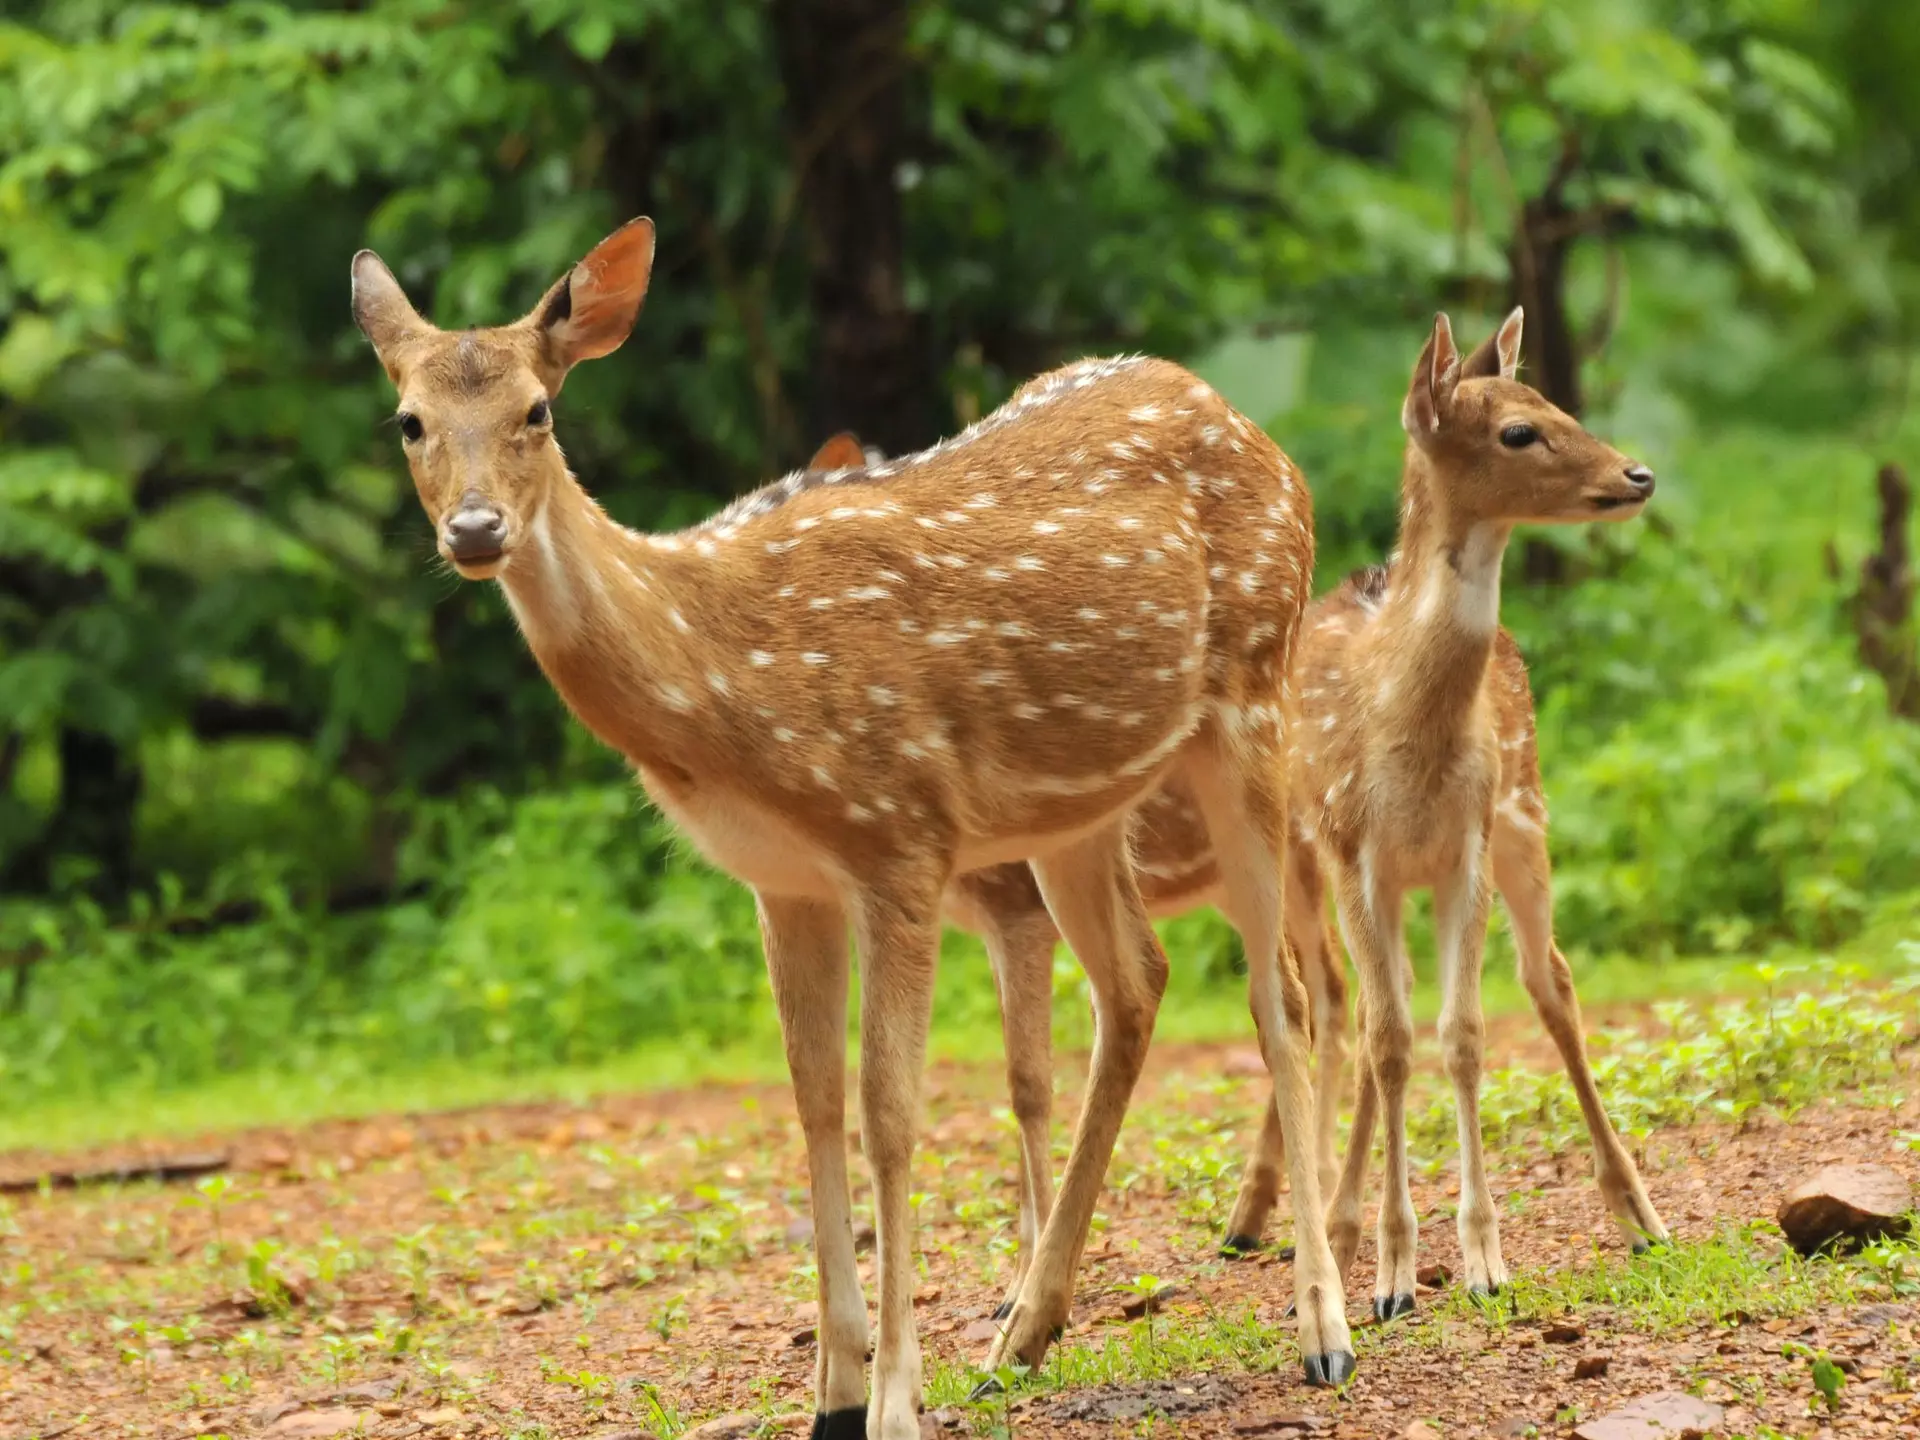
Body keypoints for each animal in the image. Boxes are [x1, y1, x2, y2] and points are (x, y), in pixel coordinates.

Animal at [348, 216, 1355, 1440]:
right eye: (408, 420)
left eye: (539, 409)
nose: (477, 529)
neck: (723, 682)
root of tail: (1256, 431)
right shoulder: (781, 881)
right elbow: (813, 1101)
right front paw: (831, 1391)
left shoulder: (899, 835)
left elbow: (891, 1111)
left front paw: (894, 1400)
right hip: (1078, 804)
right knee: (1136, 983)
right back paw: (1026, 1332)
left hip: (1252, 692)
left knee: (1281, 993)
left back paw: (1322, 1328)